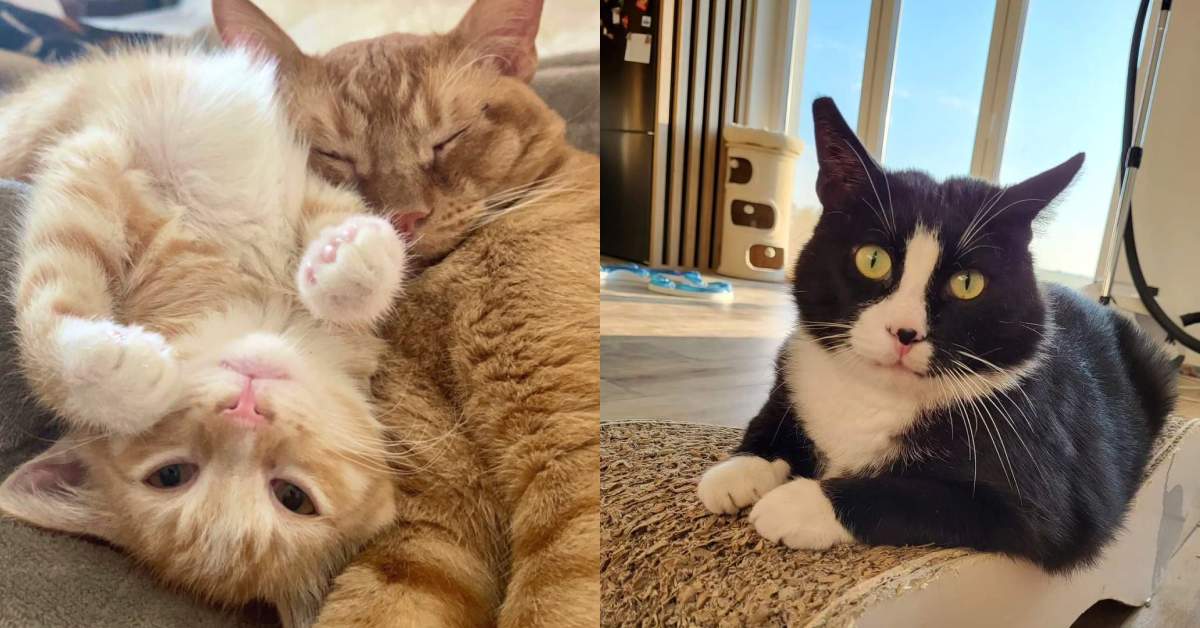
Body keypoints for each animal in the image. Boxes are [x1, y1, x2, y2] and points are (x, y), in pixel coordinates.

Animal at [0, 46, 408, 624]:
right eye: (172, 475)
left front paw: (346, 268)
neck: (245, 303)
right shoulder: (91, 163)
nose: (245, 409)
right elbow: (48, 284)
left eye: (292, 497)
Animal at [214, 0, 600, 624]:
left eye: (448, 138)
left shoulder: (569, 454)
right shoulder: (428, 521)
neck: (436, 297)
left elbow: (556, 597)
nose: (403, 217)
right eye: (333, 155)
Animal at [700, 97, 1176, 569]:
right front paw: (738, 471)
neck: (875, 396)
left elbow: (922, 497)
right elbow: (773, 416)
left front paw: (799, 504)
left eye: (967, 283)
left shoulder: (1044, 496)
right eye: (872, 258)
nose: (904, 332)